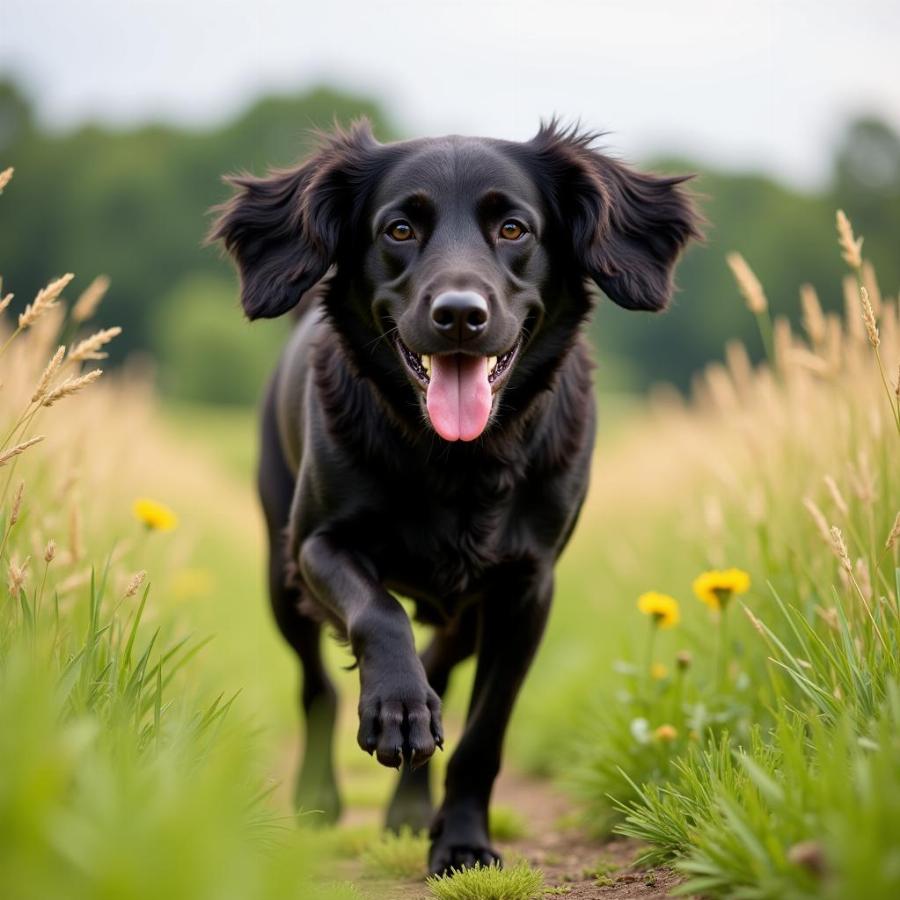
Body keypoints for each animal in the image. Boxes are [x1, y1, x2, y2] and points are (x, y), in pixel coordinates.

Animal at [213, 123, 704, 876]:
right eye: (400, 228)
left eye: (513, 228)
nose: (459, 316)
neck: (459, 460)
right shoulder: (319, 545)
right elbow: (379, 614)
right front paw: (395, 705)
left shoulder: (526, 588)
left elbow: (482, 733)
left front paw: (463, 840)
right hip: (280, 574)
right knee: (318, 685)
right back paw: (324, 794)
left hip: (464, 609)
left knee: (442, 660)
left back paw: (413, 806)